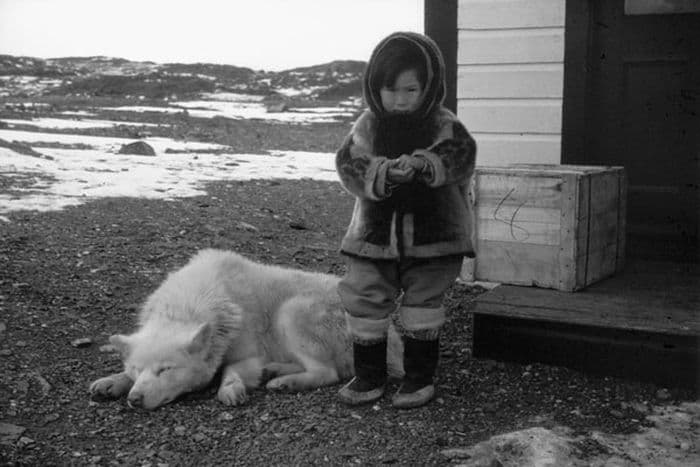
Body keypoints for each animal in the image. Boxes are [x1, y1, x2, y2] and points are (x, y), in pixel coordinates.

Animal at [90, 249, 402, 410]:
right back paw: (276, 371)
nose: (135, 400)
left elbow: (230, 371)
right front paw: (112, 381)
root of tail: (393, 338)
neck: (190, 303)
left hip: (291, 312)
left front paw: (230, 389)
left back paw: (286, 382)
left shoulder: (248, 355)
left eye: (166, 370)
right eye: (136, 370)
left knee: (328, 373)